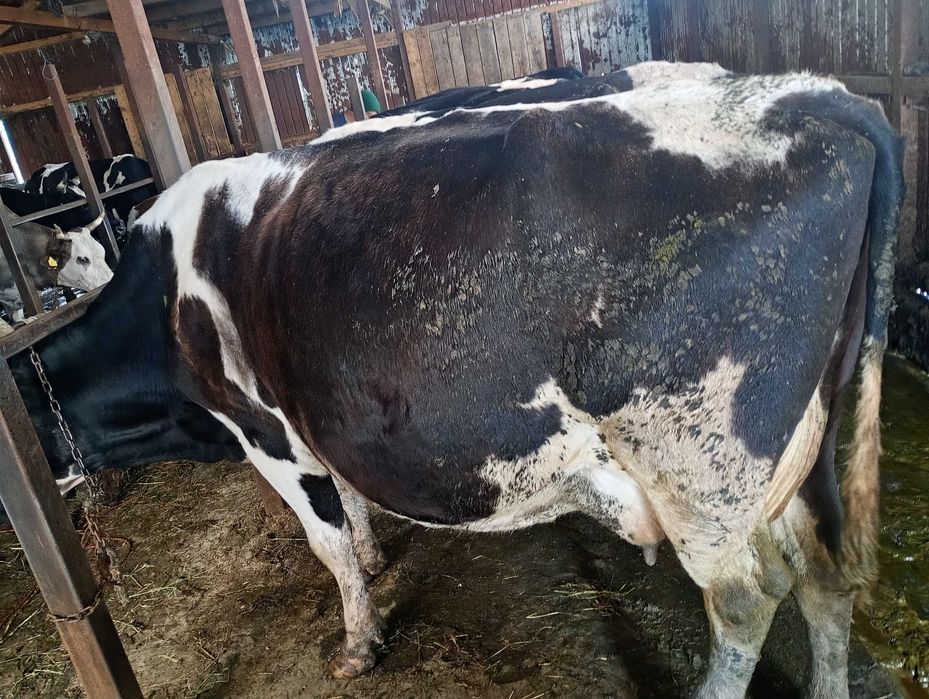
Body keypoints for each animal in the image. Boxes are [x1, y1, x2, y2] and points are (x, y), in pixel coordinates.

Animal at [8, 70, 903, 699]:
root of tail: (815, 97)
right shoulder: (318, 417)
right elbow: (353, 507)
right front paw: (376, 558)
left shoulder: (269, 433)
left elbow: (327, 543)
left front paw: (358, 641)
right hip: (803, 453)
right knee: (824, 578)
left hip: (701, 463)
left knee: (749, 595)